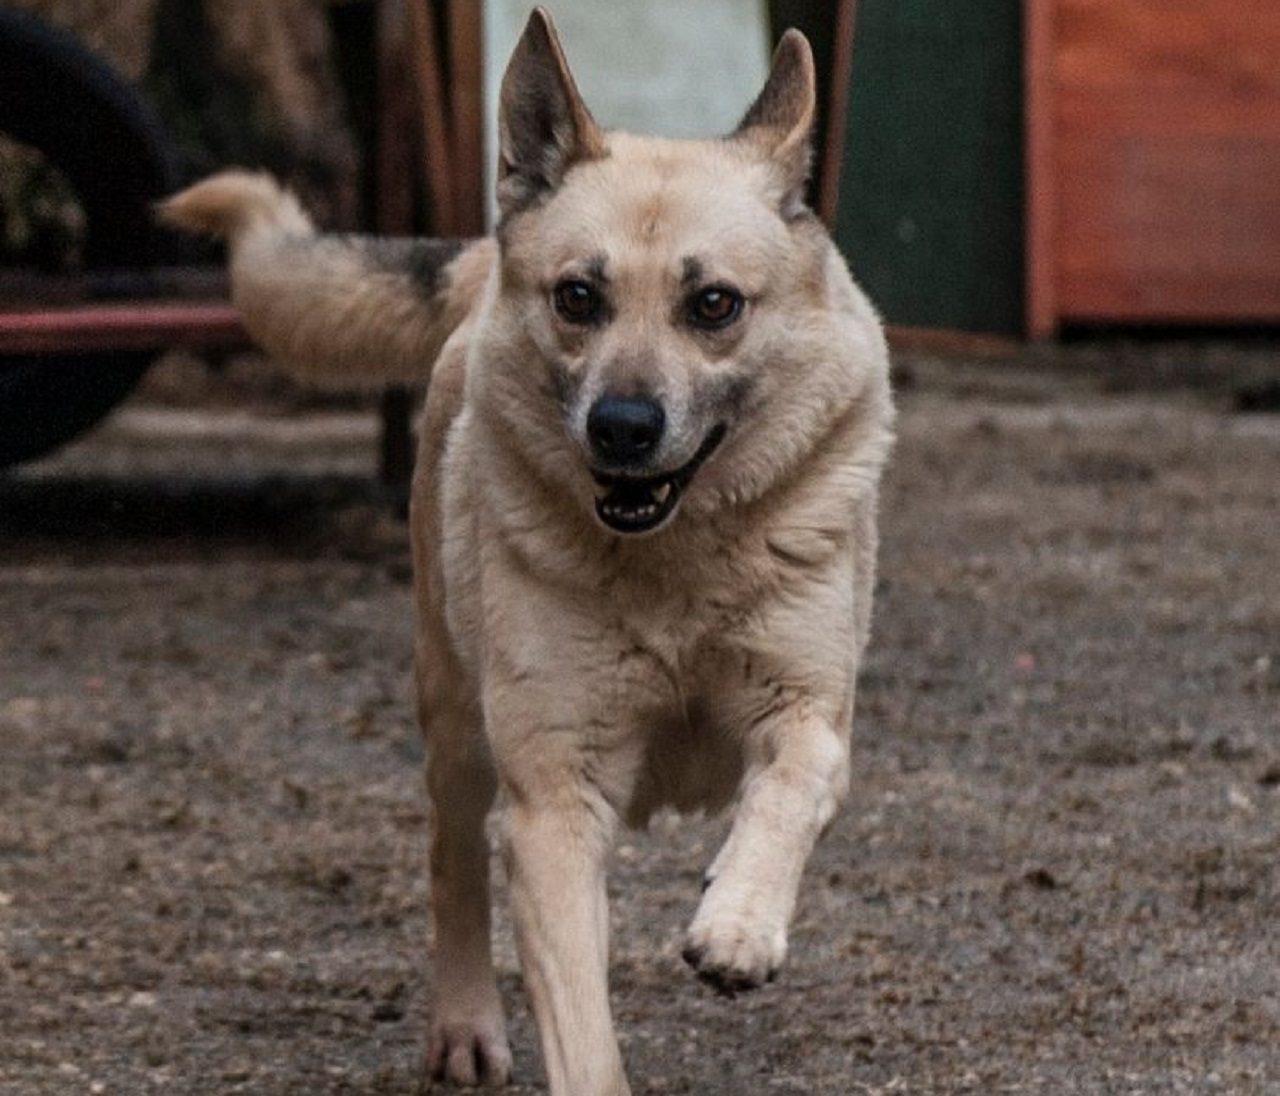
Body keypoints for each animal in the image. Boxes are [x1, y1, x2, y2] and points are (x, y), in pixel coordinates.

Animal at [165, 10, 896, 1096]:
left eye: (714, 304)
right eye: (578, 296)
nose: (623, 428)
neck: (674, 567)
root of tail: (485, 252)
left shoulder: (806, 707)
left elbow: (797, 779)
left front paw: (738, 924)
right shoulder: (552, 799)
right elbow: (579, 1022)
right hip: (457, 721)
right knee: (456, 865)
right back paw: (467, 1024)